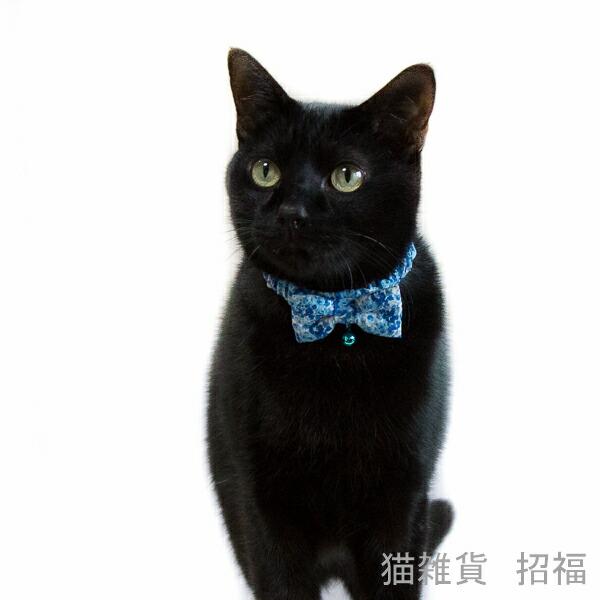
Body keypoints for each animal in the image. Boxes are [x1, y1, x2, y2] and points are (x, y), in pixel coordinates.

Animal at [208, 48, 453, 600]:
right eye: (265, 171)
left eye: (347, 176)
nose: (292, 213)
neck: (338, 325)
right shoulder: (265, 503)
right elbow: (281, 581)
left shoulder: (403, 500)